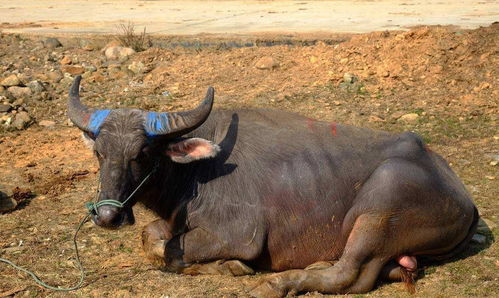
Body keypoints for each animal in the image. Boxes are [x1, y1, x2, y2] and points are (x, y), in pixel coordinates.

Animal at [66, 76, 476, 296]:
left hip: (380, 206)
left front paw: (231, 267)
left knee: (349, 274)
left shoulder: (238, 234)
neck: (198, 172)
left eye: (143, 153)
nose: (107, 216)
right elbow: (151, 237)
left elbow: (168, 249)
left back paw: (277, 283)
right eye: (100, 152)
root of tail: (465, 202)